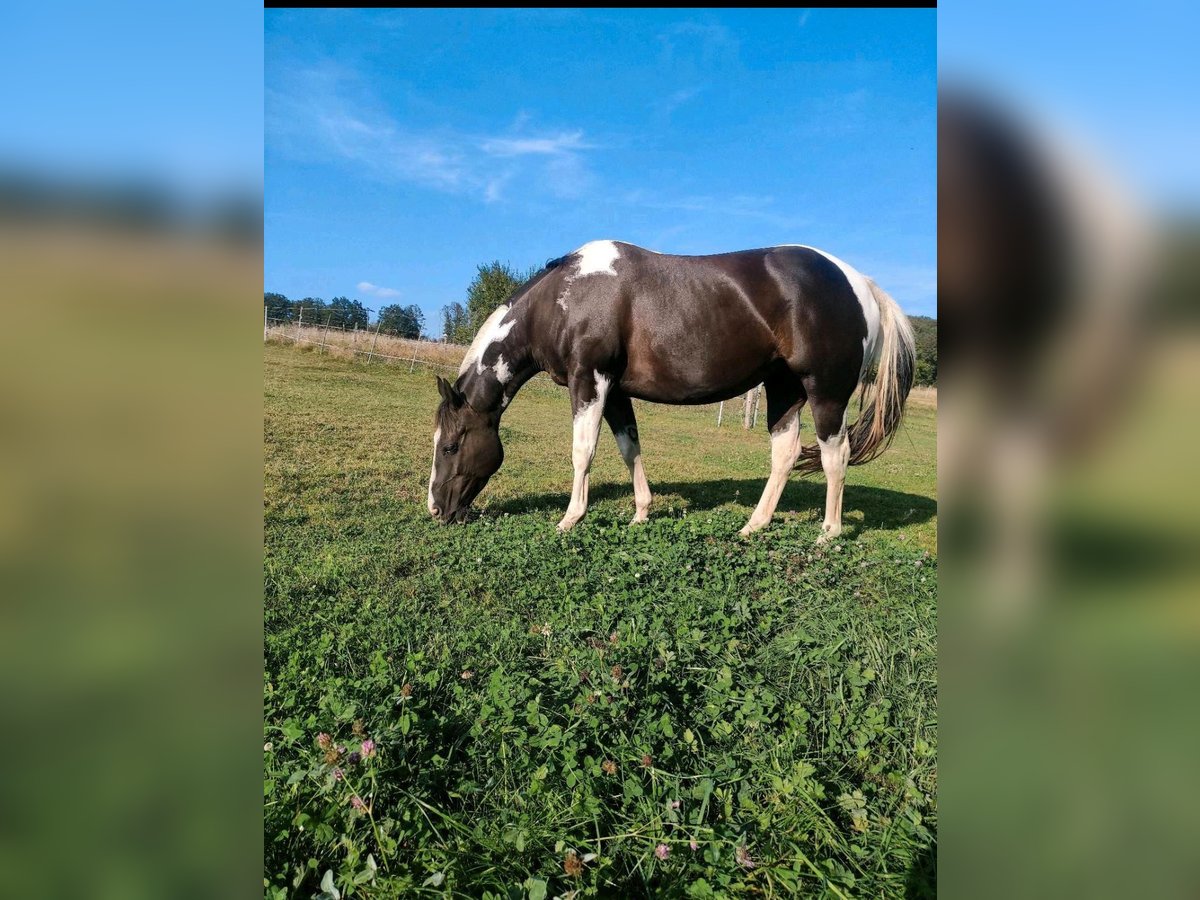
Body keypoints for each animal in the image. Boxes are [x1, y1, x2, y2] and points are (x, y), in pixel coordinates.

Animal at [428, 240, 915, 539]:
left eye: (450, 446)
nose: (436, 510)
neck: (566, 298)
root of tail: (860, 282)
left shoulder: (590, 381)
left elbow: (583, 450)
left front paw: (570, 518)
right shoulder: (615, 391)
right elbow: (629, 448)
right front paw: (641, 512)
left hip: (825, 392)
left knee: (836, 455)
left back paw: (828, 534)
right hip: (783, 388)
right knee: (786, 453)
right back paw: (753, 526)